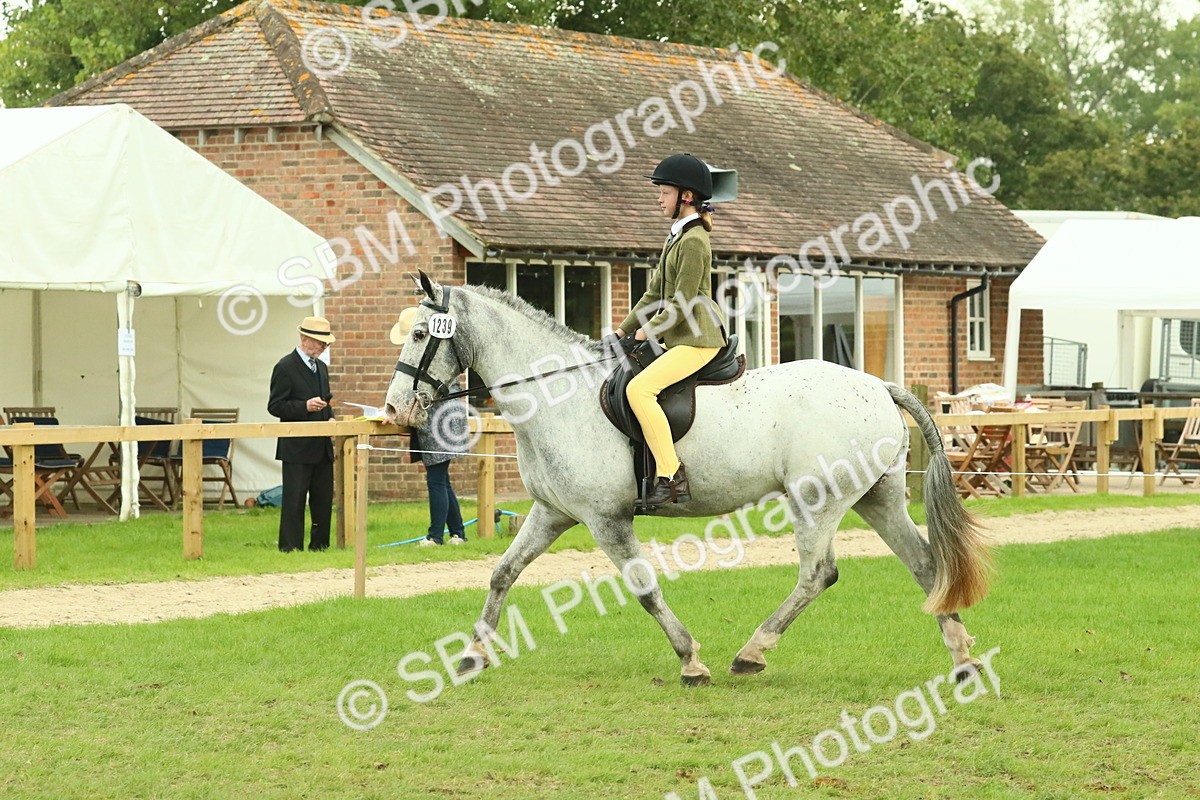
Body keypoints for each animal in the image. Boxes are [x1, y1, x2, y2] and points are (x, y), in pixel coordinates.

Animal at [384, 271, 991, 686]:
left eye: (420, 334)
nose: (394, 410)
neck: (555, 393)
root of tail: (877, 386)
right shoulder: (553, 513)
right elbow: (502, 574)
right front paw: (472, 654)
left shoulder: (606, 519)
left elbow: (645, 589)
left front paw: (691, 661)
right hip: (876, 499)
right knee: (924, 564)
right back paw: (961, 658)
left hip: (816, 502)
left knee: (819, 574)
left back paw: (751, 652)